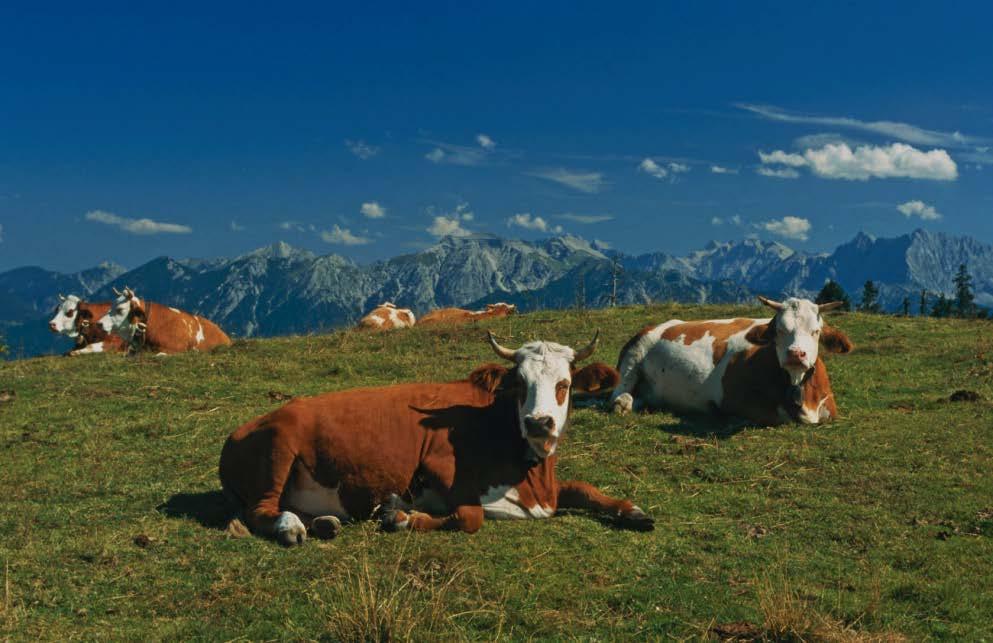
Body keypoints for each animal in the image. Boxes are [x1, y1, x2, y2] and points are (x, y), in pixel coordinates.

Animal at [217, 332, 652, 548]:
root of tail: (240, 430)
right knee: (261, 510)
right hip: (280, 445)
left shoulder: (549, 489)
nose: (538, 422)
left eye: (564, 384)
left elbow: (583, 488)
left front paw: (632, 510)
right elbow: (471, 515)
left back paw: (323, 523)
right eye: (520, 384)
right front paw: (402, 517)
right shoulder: (437, 467)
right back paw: (290, 527)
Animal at [612, 296, 852, 428]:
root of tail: (664, 324)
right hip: (635, 352)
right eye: (779, 330)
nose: (796, 354)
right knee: (618, 396)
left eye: (816, 331)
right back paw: (623, 402)